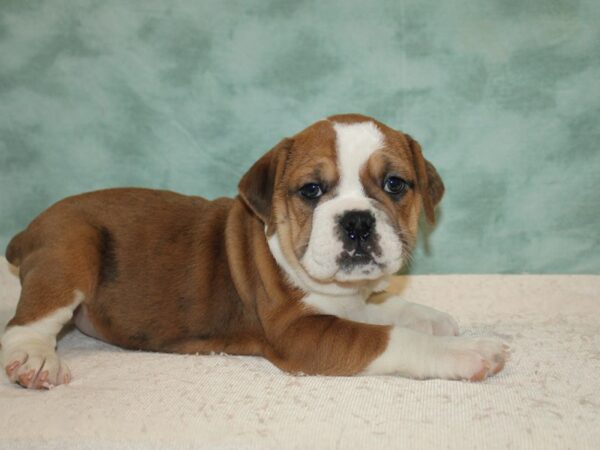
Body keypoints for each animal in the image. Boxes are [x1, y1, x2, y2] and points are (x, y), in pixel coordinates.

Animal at [0, 114, 506, 388]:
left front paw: (430, 317)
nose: (357, 221)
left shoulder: (342, 305)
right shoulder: (302, 334)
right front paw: (468, 351)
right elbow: (389, 337)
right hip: (72, 248)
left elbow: (386, 311)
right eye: (312, 190)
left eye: (395, 184)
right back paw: (36, 360)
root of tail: (28, 231)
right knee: (24, 325)